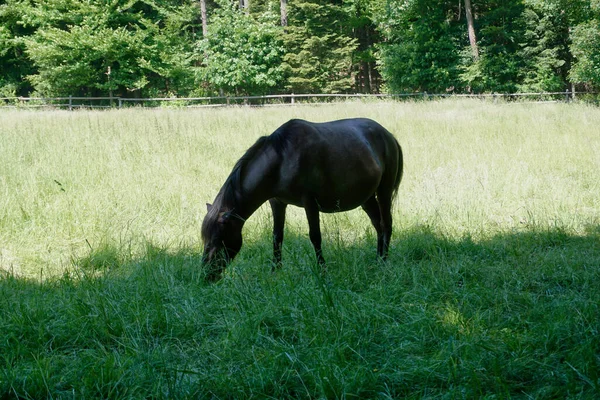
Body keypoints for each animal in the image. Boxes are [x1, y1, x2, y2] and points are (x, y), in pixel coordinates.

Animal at [202, 118, 404, 282]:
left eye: (218, 239)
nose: (206, 276)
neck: (282, 160)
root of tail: (389, 136)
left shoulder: (310, 202)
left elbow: (315, 237)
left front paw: (322, 271)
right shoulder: (277, 202)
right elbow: (277, 236)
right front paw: (275, 271)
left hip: (384, 191)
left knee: (386, 224)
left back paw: (383, 262)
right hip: (367, 198)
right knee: (378, 225)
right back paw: (377, 259)